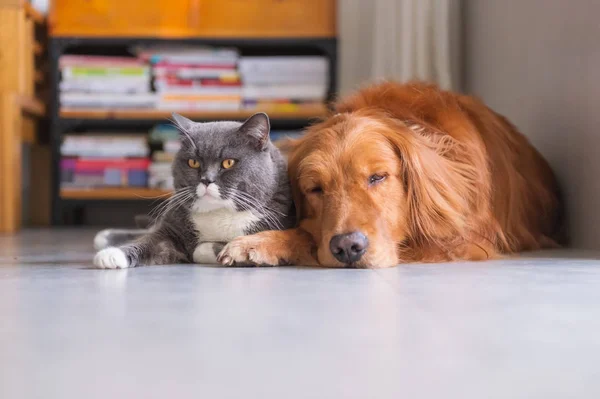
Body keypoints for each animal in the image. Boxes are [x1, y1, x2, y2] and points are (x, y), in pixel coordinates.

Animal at [93, 112, 296, 268]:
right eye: (193, 162)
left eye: (228, 163)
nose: (206, 179)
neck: (218, 213)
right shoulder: (170, 228)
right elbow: (149, 240)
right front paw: (112, 255)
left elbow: (222, 247)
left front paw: (202, 249)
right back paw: (104, 236)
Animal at [218, 81, 564, 268]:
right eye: (315, 189)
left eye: (378, 177)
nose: (348, 247)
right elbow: (307, 230)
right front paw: (261, 242)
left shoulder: (463, 240)